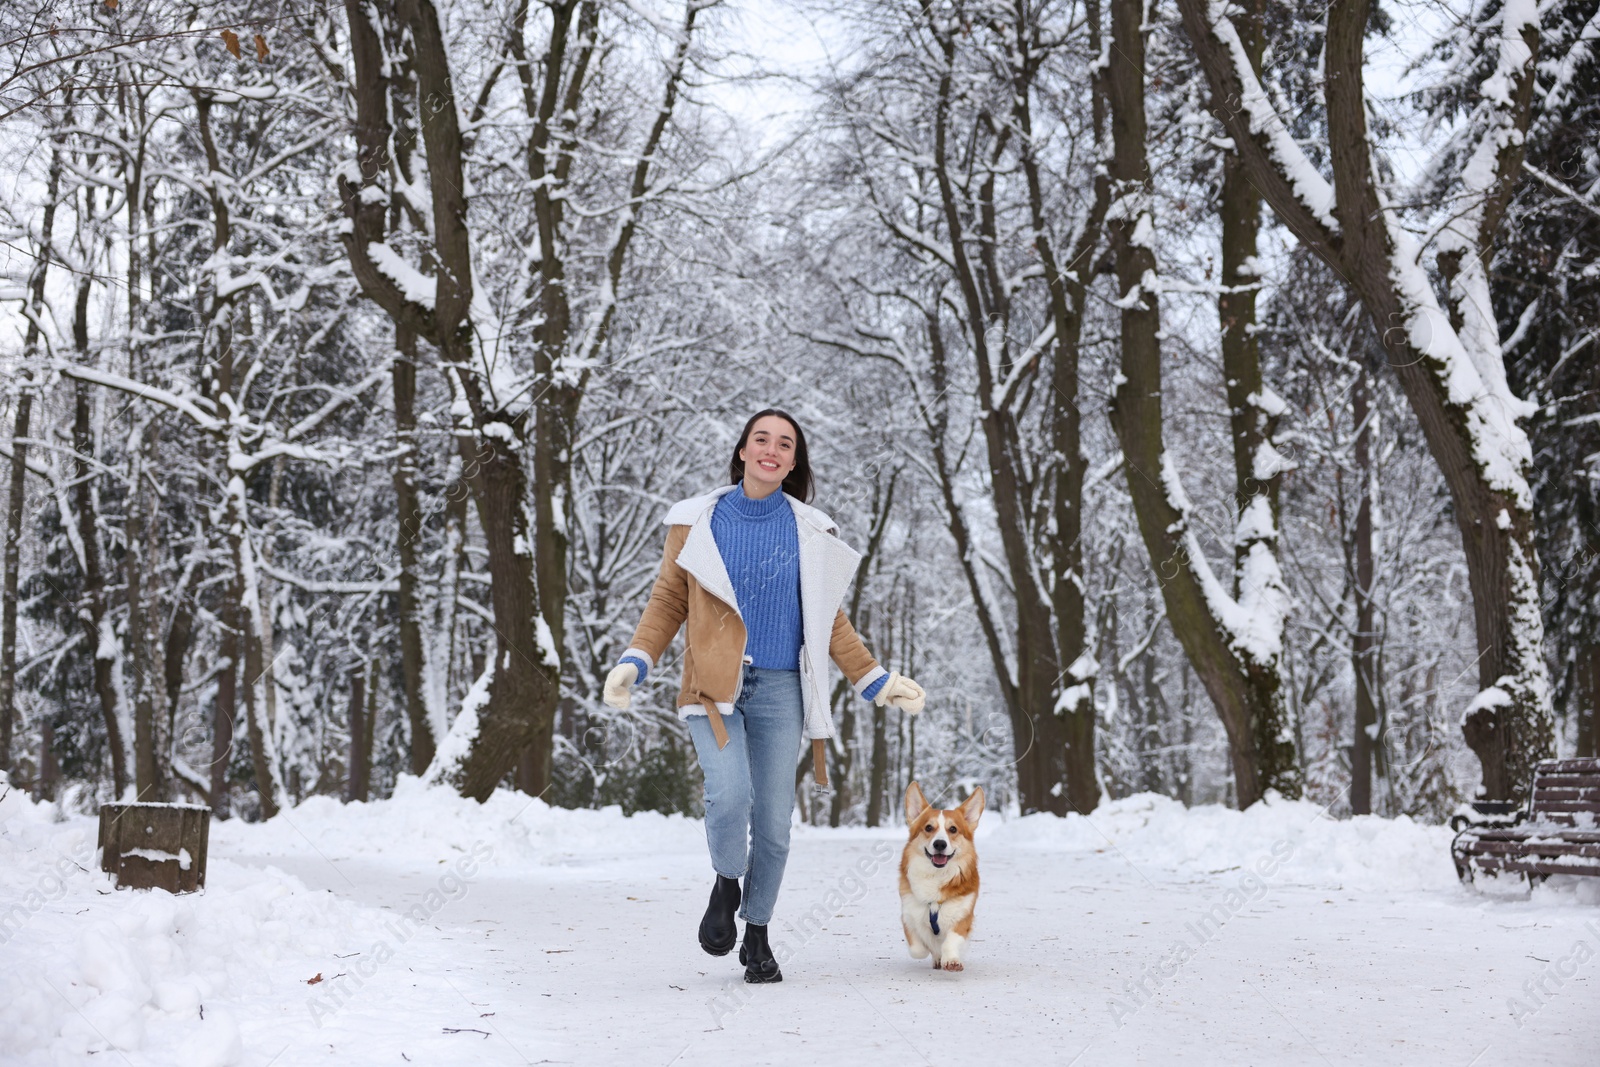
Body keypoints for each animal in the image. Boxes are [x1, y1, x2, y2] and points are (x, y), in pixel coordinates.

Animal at [908, 780, 979, 972]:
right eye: (928, 827)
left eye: (953, 829)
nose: (940, 844)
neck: (937, 875)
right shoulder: (909, 914)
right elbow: (918, 948)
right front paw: (934, 952)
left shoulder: (962, 916)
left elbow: (950, 940)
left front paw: (952, 960)